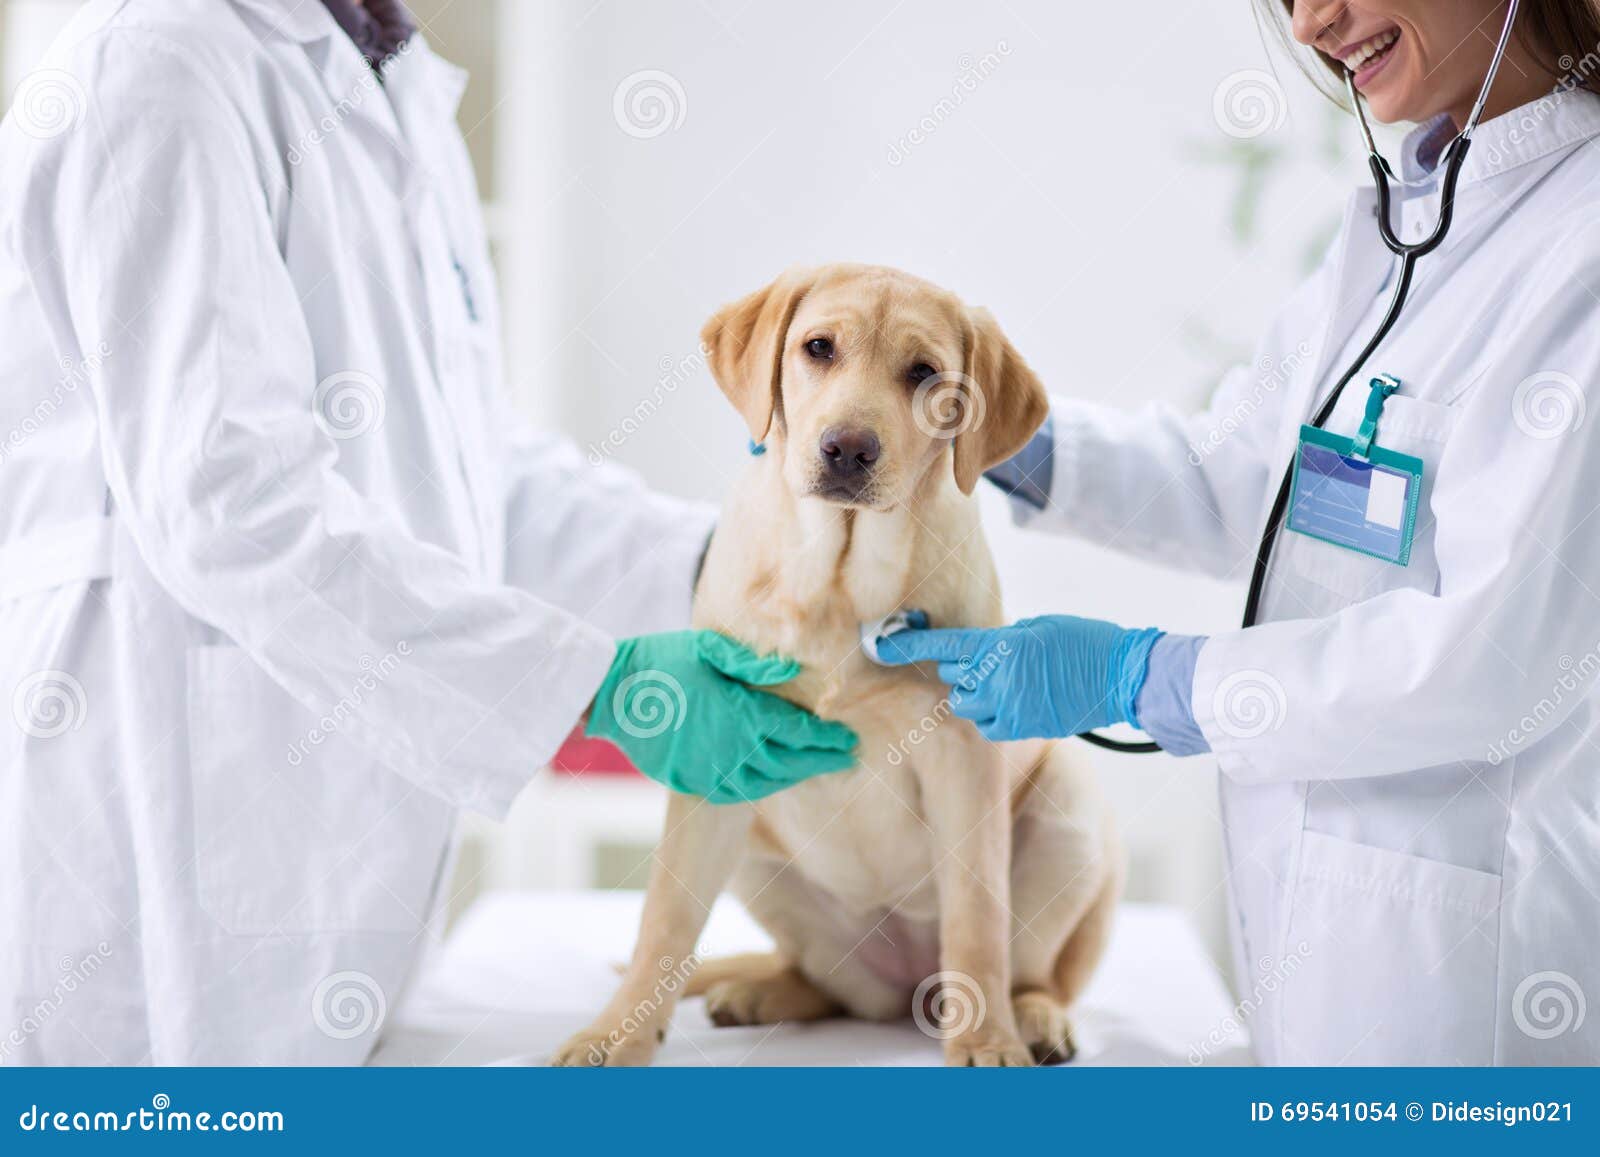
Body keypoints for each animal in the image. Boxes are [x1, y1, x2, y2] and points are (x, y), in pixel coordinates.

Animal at [556, 262, 1120, 1068]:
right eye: (818, 347)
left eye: (925, 373)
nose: (848, 448)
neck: (839, 578)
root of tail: (911, 987)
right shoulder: (717, 755)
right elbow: (662, 919)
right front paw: (617, 1033)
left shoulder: (964, 758)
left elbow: (977, 917)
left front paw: (987, 1040)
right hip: (759, 858)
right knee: (832, 988)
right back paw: (762, 991)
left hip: (1066, 806)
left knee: (1032, 971)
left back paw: (1031, 1018)